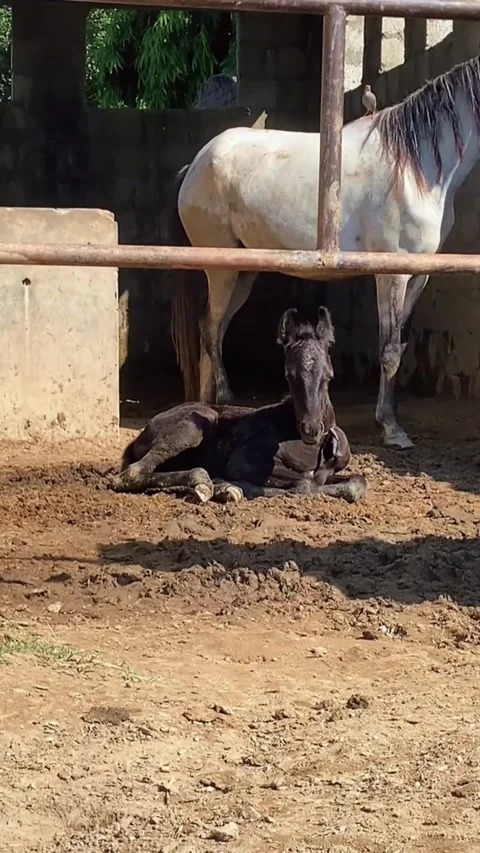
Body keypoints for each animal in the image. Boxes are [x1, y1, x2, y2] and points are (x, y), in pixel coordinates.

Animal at [111, 306, 367, 504]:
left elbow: (357, 482)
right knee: (132, 473)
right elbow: (306, 481)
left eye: (328, 377)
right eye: (289, 376)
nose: (311, 429)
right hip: (193, 426)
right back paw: (210, 483)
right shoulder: (242, 462)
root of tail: (141, 435)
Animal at [168, 54, 480, 451]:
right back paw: (224, 397)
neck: (415, 167)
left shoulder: (418, 275)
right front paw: (391, 429)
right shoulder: (390, 274)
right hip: (221, 269)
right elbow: (389, 351)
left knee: (214, 327)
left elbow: (400, 345)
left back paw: (209, 402)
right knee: (210, 328)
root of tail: (193, 166)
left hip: (243, 270)